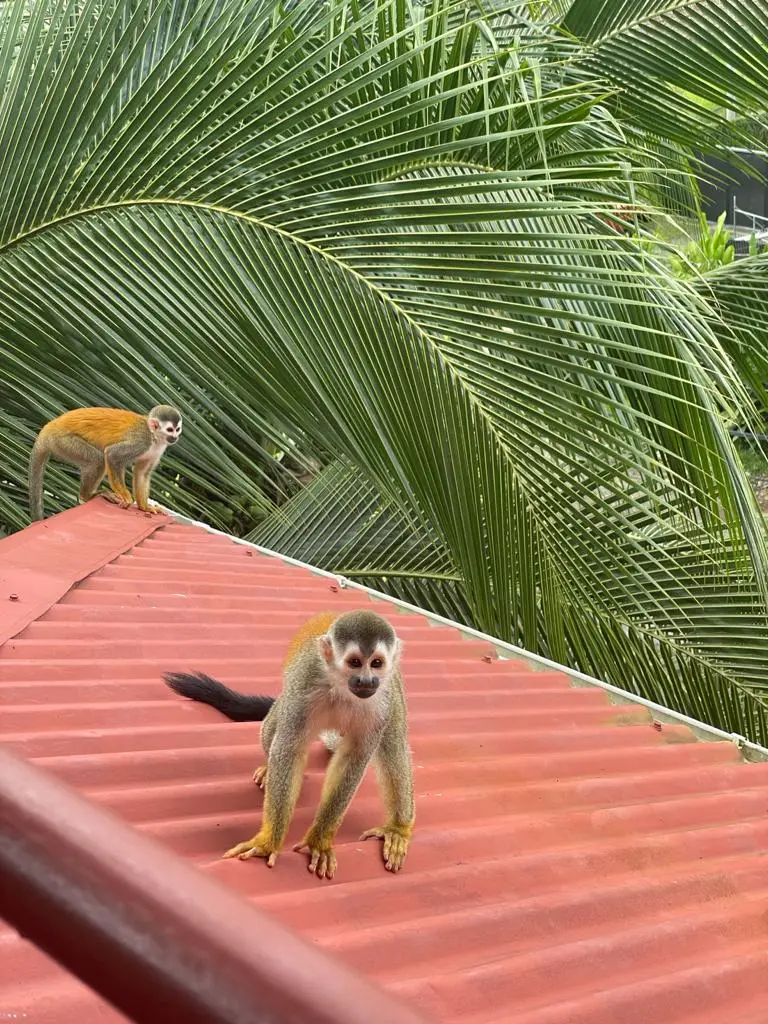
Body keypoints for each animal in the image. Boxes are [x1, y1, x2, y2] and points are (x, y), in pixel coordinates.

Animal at [28, 405, 182, 521]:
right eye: (170, 430)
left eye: (177, 429)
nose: (175, 437)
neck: (153, 436)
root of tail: (48, 427)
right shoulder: (141, 441)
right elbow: (112, 454)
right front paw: (126, 497)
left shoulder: (158, 449)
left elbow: (141, 473)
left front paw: (145, 507)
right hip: (63, 441)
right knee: (98, 460)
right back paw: (87, 496)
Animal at [163, 609, 415, 880]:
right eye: (355, 662)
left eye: (376, 663)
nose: (367, 681)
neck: (342, 688)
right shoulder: (303, 686)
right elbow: (289, 749)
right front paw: (268, 842)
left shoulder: (381, 703)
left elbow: (353, 759)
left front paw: (319, 841)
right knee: (273, 729)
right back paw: (267, 766)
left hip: (393, 695)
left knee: (394, 743)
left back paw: (397, 829)